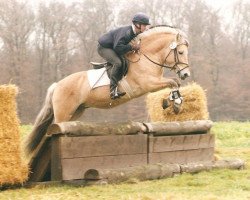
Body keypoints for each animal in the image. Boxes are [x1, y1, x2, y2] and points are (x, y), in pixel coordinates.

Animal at [24, 25, 190, 156]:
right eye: (181, 52)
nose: (185, 74)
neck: (146, 57)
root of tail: (57, 85)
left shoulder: (155, 82)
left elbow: (174, 83)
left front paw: (173, 102)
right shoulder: (148, 84)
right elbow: (173, 82)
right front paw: (174, 103)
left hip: (76, 111)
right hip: (63, 112)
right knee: (54, 129)